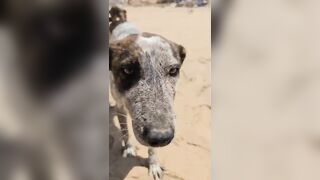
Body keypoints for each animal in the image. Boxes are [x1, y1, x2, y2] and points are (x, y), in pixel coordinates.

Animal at [109, 6, 186, 179]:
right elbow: (125, 131)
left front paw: (154, 164)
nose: (161, 137)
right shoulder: (120, 107)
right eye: (127, 70)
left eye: (173, 70)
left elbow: (153, 150)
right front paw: (129, 148)